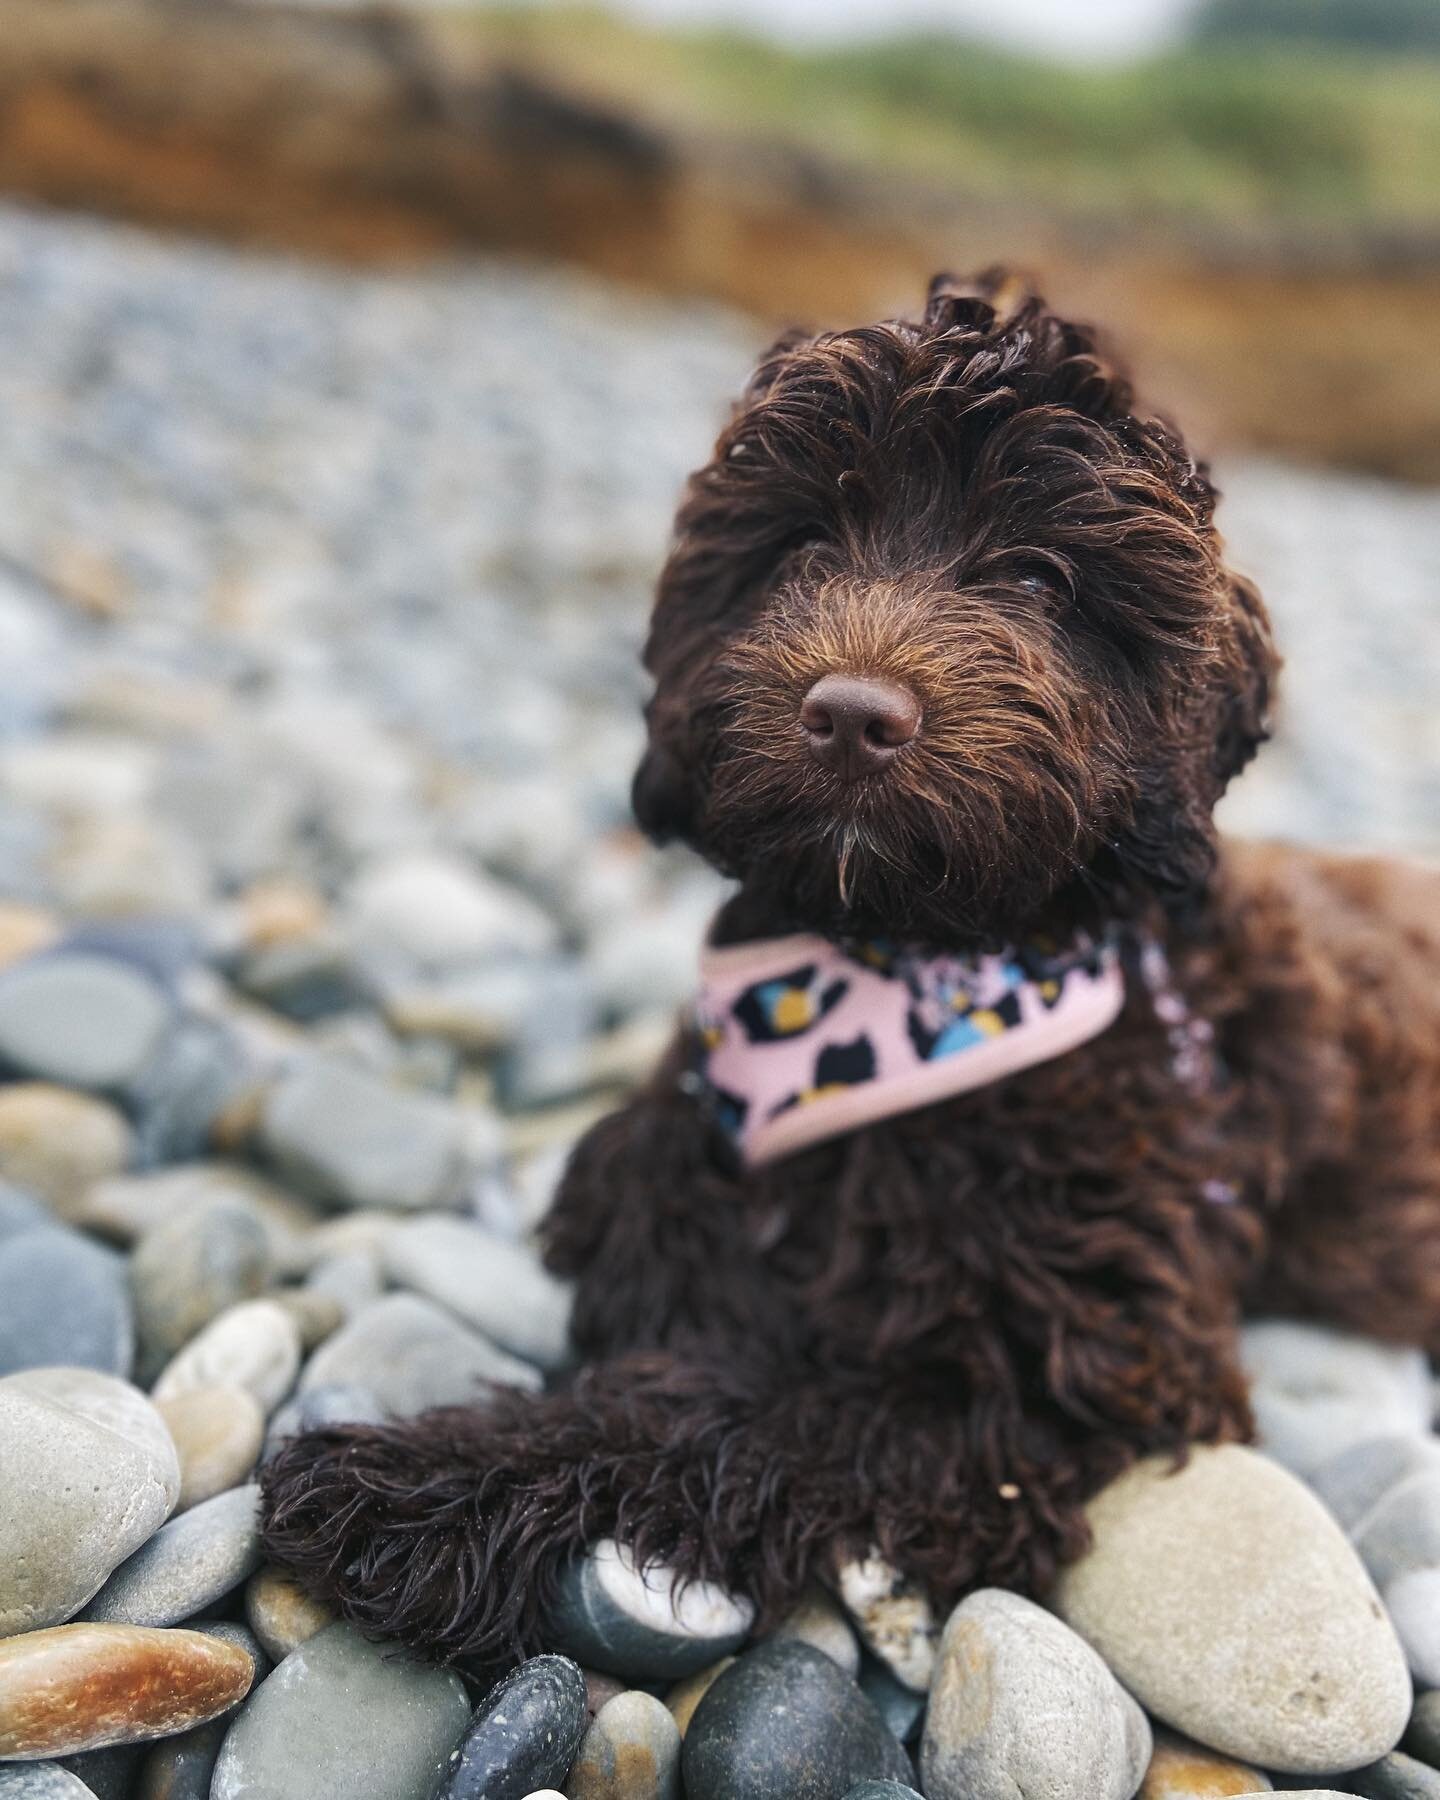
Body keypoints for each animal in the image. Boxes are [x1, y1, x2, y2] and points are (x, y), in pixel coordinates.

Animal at [259, 273, 1440, 1677]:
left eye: (1038, 576)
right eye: (809, 541)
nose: (853, 714)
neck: (887, 986)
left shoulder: (1045, 1389)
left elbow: (731, 1415)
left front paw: (426, 1490)